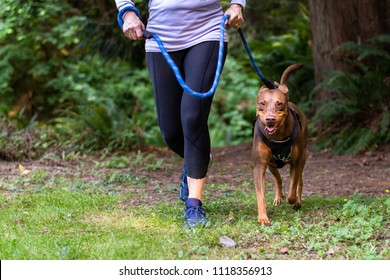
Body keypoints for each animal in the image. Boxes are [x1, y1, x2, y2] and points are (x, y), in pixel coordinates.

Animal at [253, 63, 308, 225]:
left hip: (303, 157)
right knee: (278, 179)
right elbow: (260, 195)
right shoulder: (260, 165)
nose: (270, 119)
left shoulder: (296, 161)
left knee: (299, 181)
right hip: (272, 164)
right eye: (262, 103)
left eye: (279, 104)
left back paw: (297, 200)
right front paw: (263, 217)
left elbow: (293, 187)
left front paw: (294, 200)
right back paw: (278, 197)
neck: (277, 136)